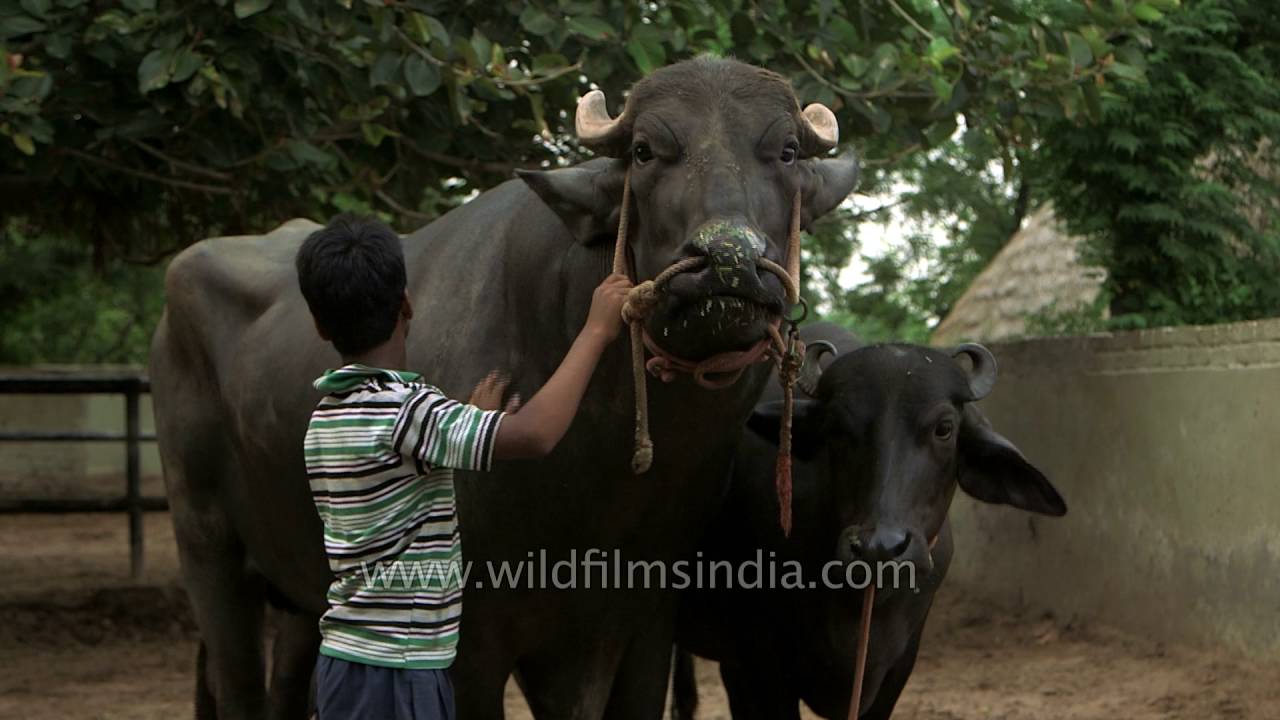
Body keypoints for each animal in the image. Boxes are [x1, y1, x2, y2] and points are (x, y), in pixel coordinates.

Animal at [148, 57, 861, 720]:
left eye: (786, 152)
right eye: (644, 150)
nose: (727, 258)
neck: (604, 485)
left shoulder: (642, 623)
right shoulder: (473, 636)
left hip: (301, 590)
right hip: (206, 544)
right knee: (237, 681)